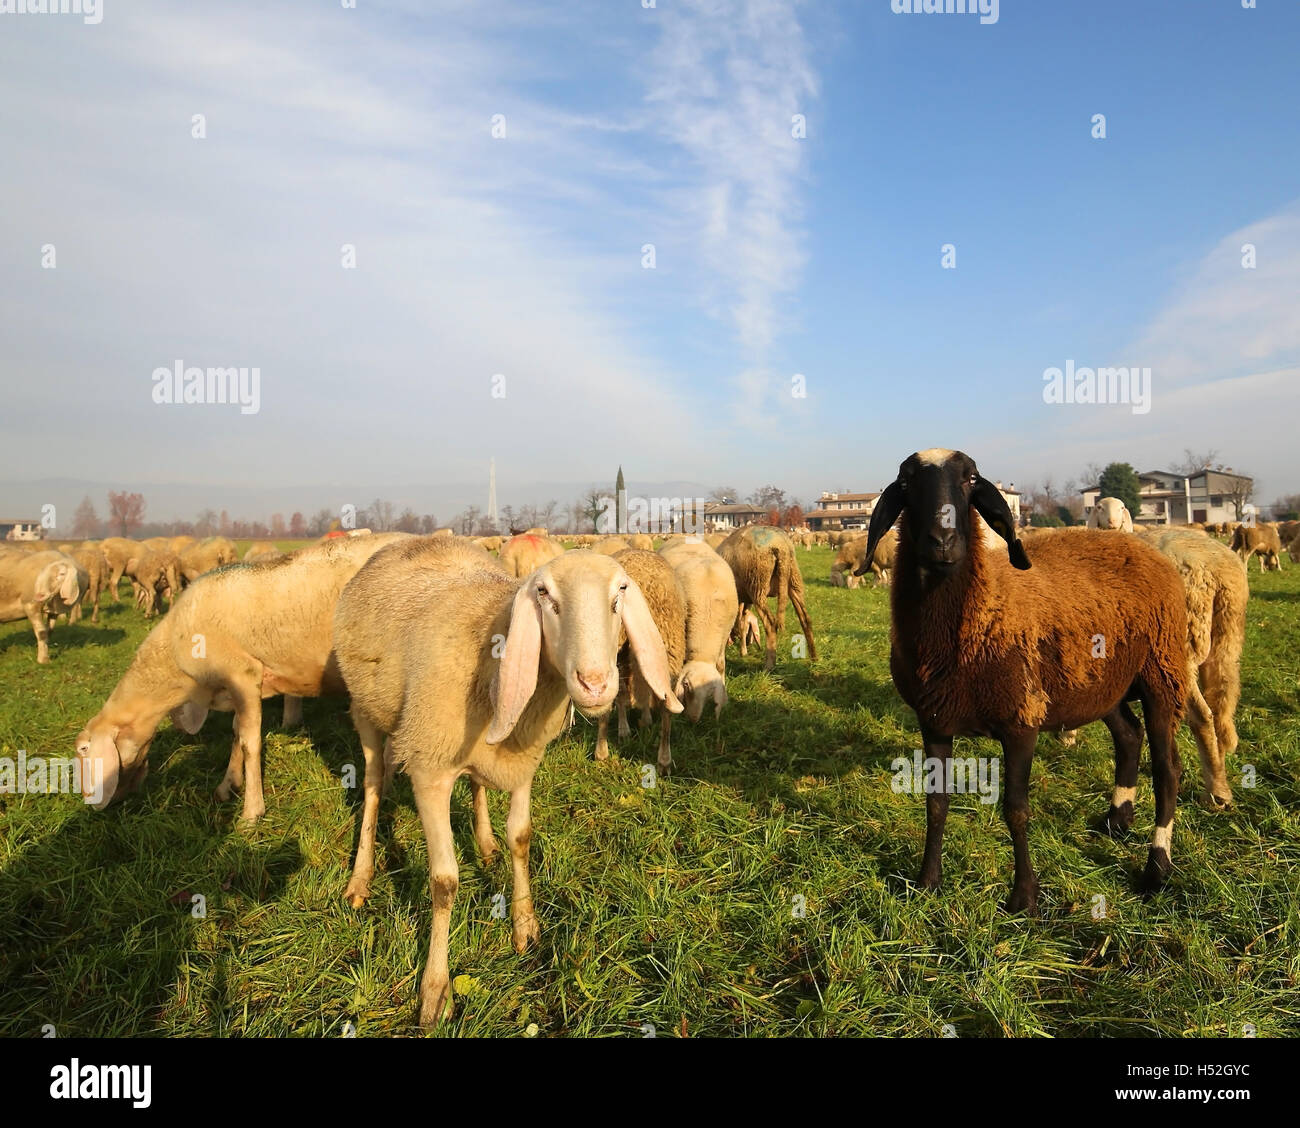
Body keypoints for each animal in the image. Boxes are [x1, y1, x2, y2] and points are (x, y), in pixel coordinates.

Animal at [75, 533, 409, 821]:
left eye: (83, 750)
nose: (90, 804)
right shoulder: (234, 687)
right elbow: (236, 733)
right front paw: (228, 786)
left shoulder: (244, 675)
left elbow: (251, 743)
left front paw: (251, 813)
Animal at [717, 526, 817, 671]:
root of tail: (782, 546)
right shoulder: (745, 600)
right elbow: (742, 623)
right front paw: (743, 651)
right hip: (793, 580)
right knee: (805, 619)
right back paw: (814, 659)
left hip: (757, 583)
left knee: (770, 623)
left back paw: (769, 666)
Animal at [856, 448, 1189, 912]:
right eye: (905, 483)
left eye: (971, 479)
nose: (942, 541)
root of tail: (1139, 545)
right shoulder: (934, 721)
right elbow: (936, 803)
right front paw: (927, 882)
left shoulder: (1021, 720)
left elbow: (1016, 809)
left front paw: (1024, 897)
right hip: (1103, 684)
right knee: (1128, 735)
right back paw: (1117, 820)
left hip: (1163, 671)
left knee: (1167, 769)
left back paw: (1156, 867)